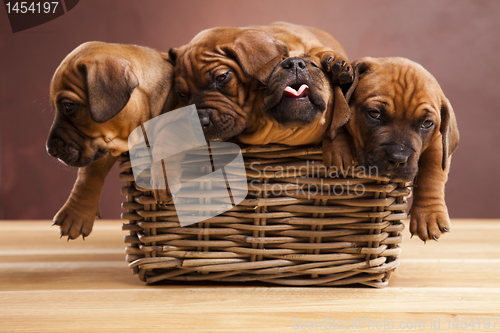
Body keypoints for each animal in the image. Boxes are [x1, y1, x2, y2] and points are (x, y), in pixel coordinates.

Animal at [45, 40, 177, 239]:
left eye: (69, 105)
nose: (50, 150)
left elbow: (167, 135)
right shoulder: (103, 147)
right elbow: (89, 174)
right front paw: (76, 214)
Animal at [340, 57, 460, 241]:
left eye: (427, 123)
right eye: (374, 113)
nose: (397, 158)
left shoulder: (438, 143)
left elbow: (433, 174)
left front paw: (429, 215)